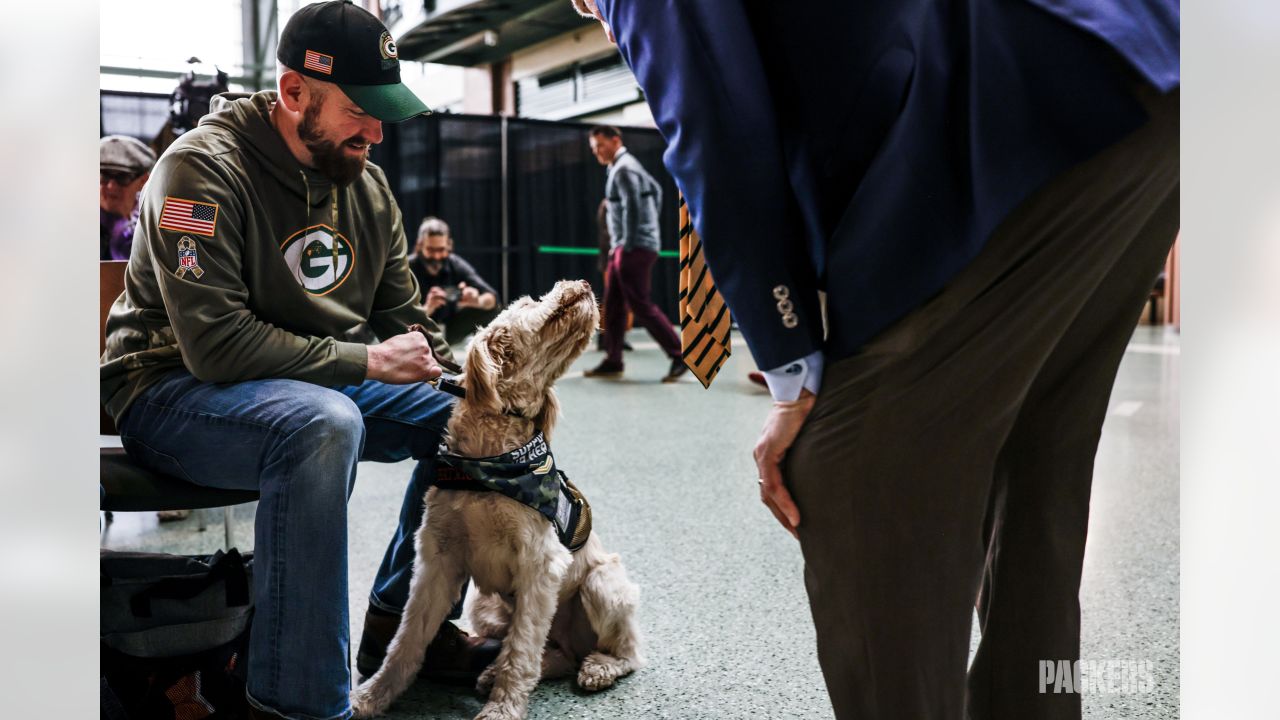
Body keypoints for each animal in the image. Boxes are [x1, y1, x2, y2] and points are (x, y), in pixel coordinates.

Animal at [350, 279, 645, 717]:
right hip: (485, 606)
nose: (581, 283)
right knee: (554, 653)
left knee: (626, 651)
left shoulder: (540, 564)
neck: (488, 462)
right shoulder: (437, 561)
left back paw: (598, 667)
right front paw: (372, 695)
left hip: (601, 584)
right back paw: (494, 672)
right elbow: (406, 638)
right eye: (526, 302)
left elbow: (520, 651)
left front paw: (502, 709)